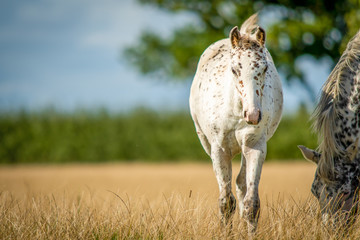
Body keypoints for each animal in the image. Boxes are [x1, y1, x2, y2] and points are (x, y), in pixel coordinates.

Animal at [190, 13, 282, 232]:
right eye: (234, 69)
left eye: (264, 68)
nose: (253, 115)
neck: (236, 112)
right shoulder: (219, 150)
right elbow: (226, 202)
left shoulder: (255, 146)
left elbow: (251, 203)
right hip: (207, 142)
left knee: (241, 184)